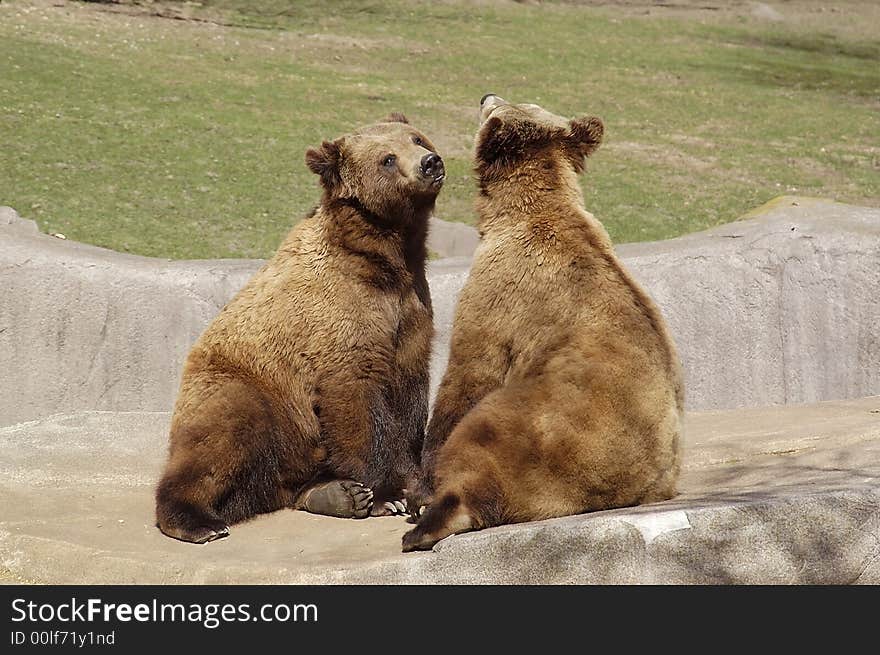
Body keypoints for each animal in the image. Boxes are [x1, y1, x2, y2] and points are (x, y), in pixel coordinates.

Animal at [153, 113, 446, 544]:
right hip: (250, 390)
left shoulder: (410, 311)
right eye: (387, 159)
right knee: (221, 438)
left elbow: (410, 394)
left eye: (417, 138)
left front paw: (413, 486)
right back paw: (198, 520)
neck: (385, 258)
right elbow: (356, 396)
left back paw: (333, 493)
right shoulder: (341, 317)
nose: (430, 162)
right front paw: (385, 495)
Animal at [402, 96, 684, 552]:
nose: (485, 95)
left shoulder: (500, 294)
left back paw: (425, 523)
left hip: (543, 431)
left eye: (500, 105)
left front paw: (419, 488)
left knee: (482, 438)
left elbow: (468, 372)